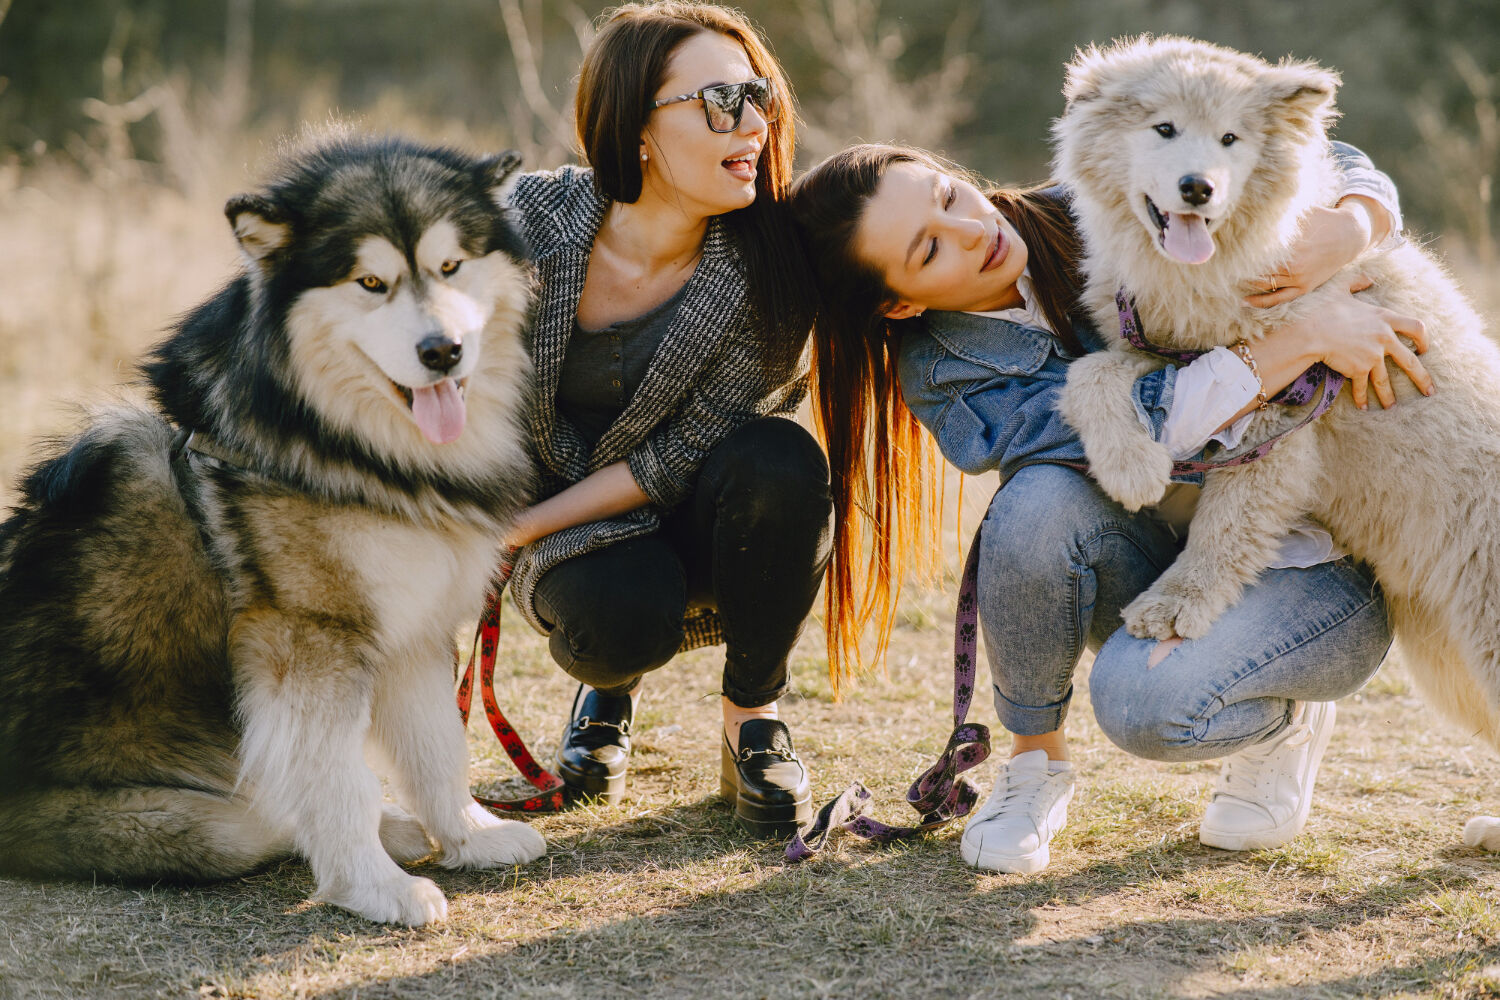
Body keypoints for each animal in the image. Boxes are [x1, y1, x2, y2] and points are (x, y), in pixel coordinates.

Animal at [0, 137, 549, 929]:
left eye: (451, 267)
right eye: (371, 281)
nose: (442, 351)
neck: (351, 446)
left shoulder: (411, 627)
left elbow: (438, 747)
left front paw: (470, 837)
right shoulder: (309, 637)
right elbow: (337, 778)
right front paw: (374, 888)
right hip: (191, 824)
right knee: (261, 814)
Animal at [1050, 35, 1500, 851]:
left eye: (1232, 139)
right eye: (1164, 128)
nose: (1198, 187)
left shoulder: (1282, 418)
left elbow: (1226, 528)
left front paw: (1176, 607)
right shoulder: (1154, 350)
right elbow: (1089, 372)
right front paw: (1132, 466)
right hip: (1445, 659)